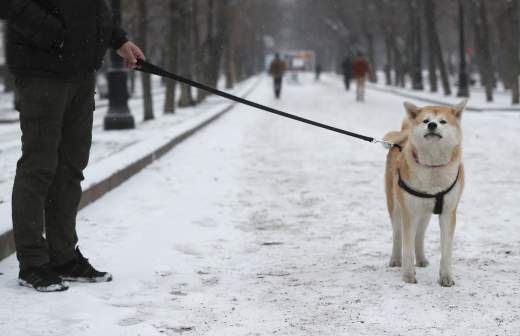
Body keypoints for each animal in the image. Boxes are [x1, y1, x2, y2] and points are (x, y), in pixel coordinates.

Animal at [382, 100, 468, 286]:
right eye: (425, 120)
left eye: (442, 121)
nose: (432, 125)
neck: (433, 168)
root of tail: (403, 137)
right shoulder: (409, 212)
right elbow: (407, 248)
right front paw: (408, 277)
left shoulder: (448, 213)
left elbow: (446, 250)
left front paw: (446, 277)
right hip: (396, 207)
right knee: (397, 234)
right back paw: (395, 259)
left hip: (425, 213)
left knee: (419, 236)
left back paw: (421, 259)